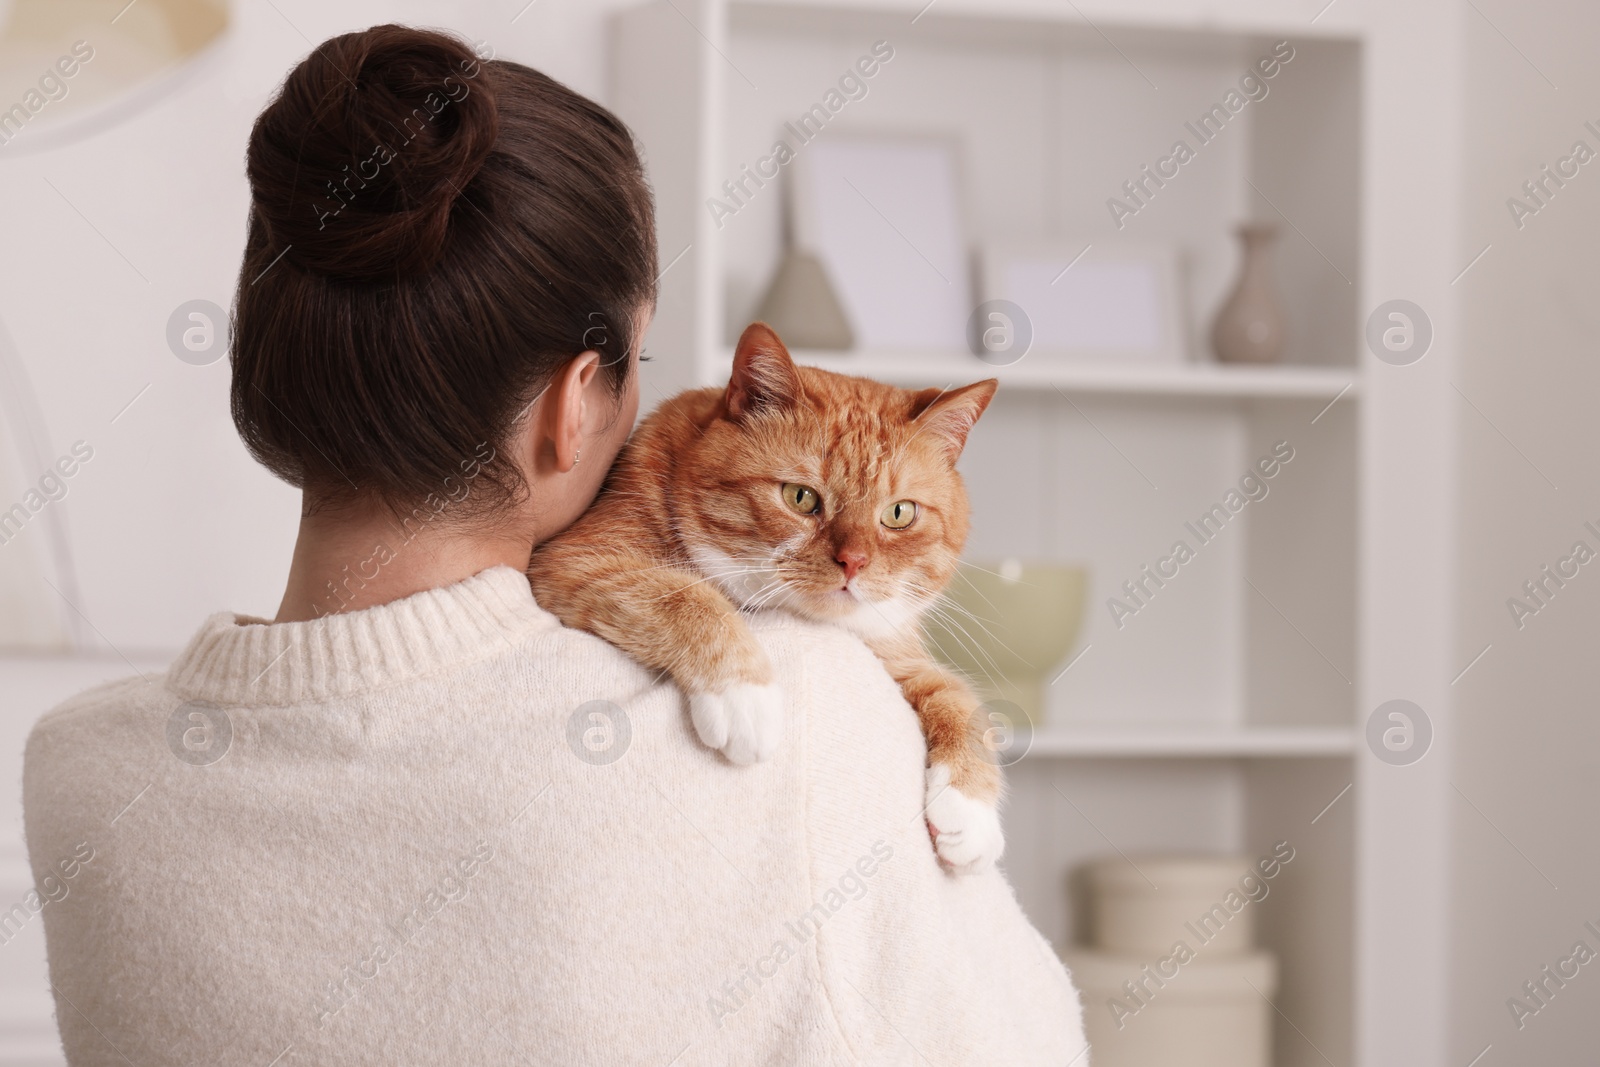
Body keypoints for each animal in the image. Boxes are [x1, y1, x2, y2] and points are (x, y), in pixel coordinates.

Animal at [531, 321, 1004, 870]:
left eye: (899, 513)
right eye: (801, 498)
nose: (854, 562)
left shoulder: (894, 654)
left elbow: (958, 700)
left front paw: (969, 811)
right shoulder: (579, 558)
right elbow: (688, 598)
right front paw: (744, 697)